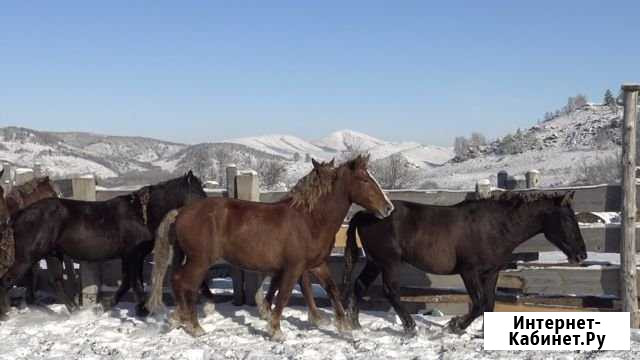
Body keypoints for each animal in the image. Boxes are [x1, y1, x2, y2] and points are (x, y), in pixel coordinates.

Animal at [0, 170, 205, 316]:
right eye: (197, 192)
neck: (141, 214)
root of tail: (20, 214)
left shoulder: (134, 257)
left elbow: (130, 282)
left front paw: (110, 307)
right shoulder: (131, 255)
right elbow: (133, 283)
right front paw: (141, 310)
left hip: (52, 255)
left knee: (55, 281)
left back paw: (74, 310)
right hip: (26, 258)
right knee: (7, 280)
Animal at [147, 155, 392, 340]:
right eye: (364, 180)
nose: (388, 208)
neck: (310, 220)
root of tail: (181, 211)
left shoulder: (316, 264)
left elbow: (331, 290)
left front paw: (343, 327)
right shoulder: (294, 267)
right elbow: (284, 295)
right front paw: (276, 330)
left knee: (177, 281)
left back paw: (179, 319)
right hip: (199, 261)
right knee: (186, 284)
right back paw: (195, 326)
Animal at [342, 191, 588, 334]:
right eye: (567, 219)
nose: (581, 255)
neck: (495, 227)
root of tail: (364, 214)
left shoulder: (491, 273)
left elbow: (489, 305)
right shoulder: (469, 271)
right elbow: (478, 303)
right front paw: (455, 326)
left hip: (375, 262)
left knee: (359, 286)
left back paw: (356, 325)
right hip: (390, 262)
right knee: (390, 291)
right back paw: (410, 327)